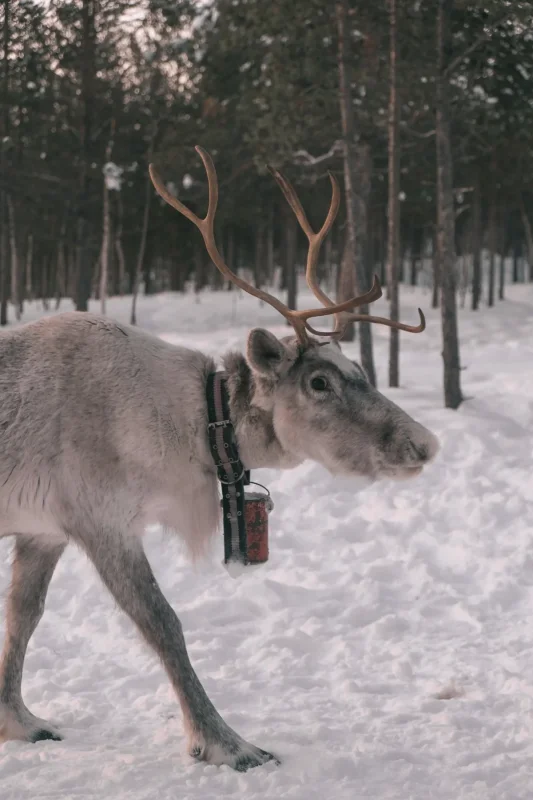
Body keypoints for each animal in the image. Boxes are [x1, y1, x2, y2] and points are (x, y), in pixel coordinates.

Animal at [0, 147, 439, 772]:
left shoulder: (43, 530)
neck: (184, 428)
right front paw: (227, 743)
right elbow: (164, 624)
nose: (424, 443)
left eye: (358, 369)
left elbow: (23, 618)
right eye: (320, 382)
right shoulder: (102, 520)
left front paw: (19, 720)